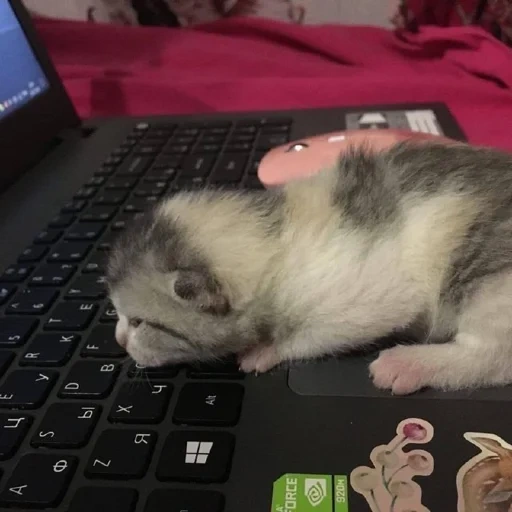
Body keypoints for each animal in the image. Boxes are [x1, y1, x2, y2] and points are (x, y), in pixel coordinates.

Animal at [106, 142, 512, 394]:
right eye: (120, 316)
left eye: (139, 322)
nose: (119, 340)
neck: (274, 234)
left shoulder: (366, 298)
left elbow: (317, 334)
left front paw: (266, 349)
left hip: (487, 276)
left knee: (493, 356)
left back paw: (409, 364)